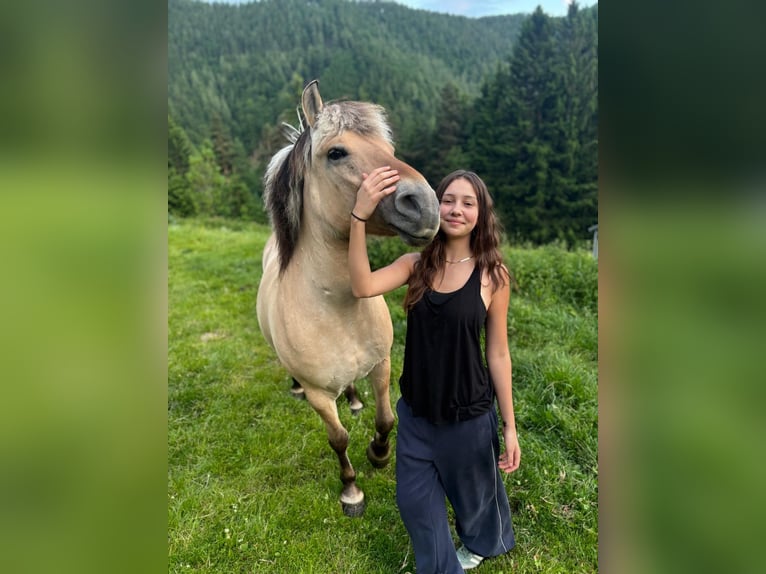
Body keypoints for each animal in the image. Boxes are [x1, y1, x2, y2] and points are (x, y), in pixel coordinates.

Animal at [256, 80, 440, 516]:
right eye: (336, 153)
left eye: (389, 149)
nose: (425, 205)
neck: (335, 308)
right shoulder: (320, 396)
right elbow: (338, 439)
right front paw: (351, 490)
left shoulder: (382, 364)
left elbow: (387, 419)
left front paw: (379, 454)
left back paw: (355, 401)